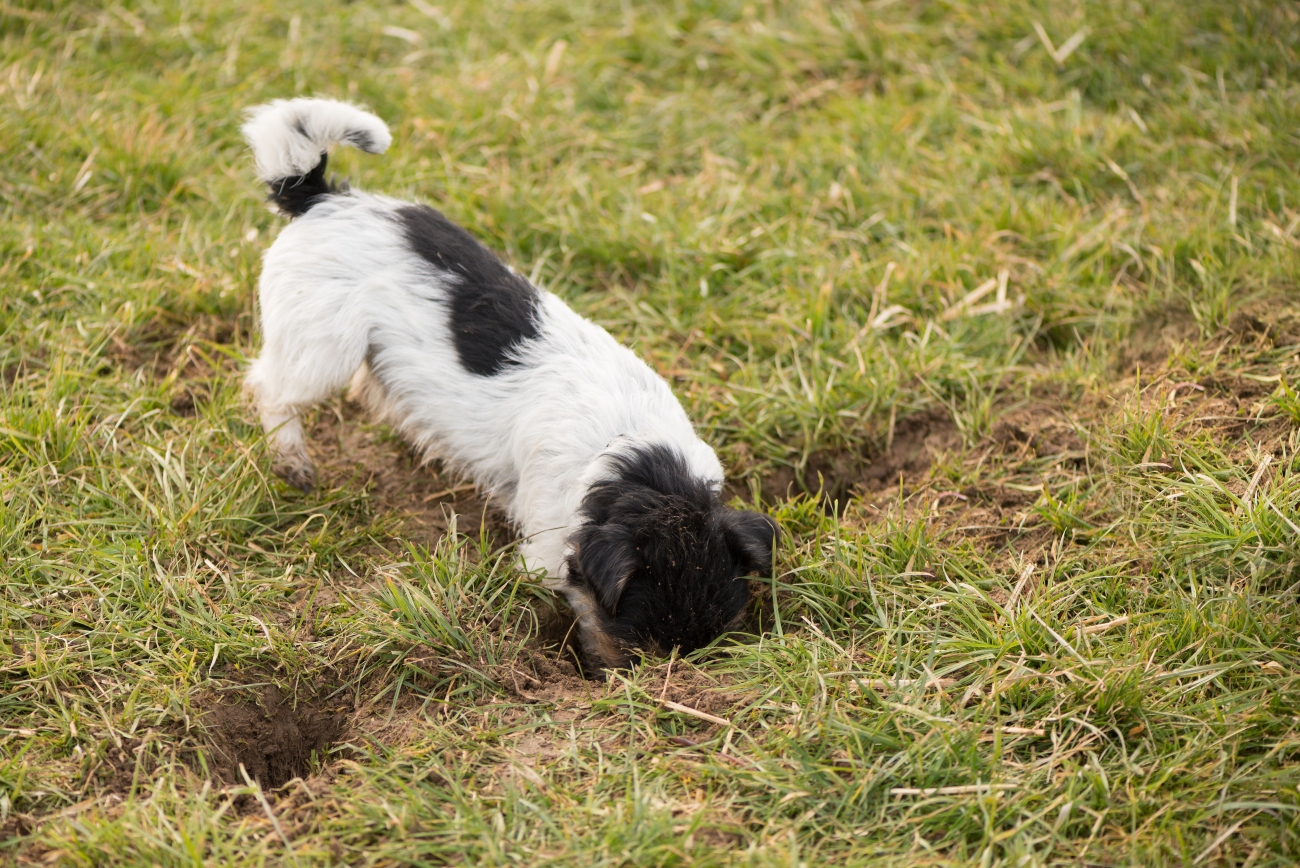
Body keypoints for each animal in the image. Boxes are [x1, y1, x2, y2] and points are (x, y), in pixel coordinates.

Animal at [240, 100, 774, 670]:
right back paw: (293, 464)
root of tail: (320, 196)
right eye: (634, 637)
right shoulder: (547, 544)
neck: (637, 459)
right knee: (269, 387)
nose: (619, 677)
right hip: (319, 348)